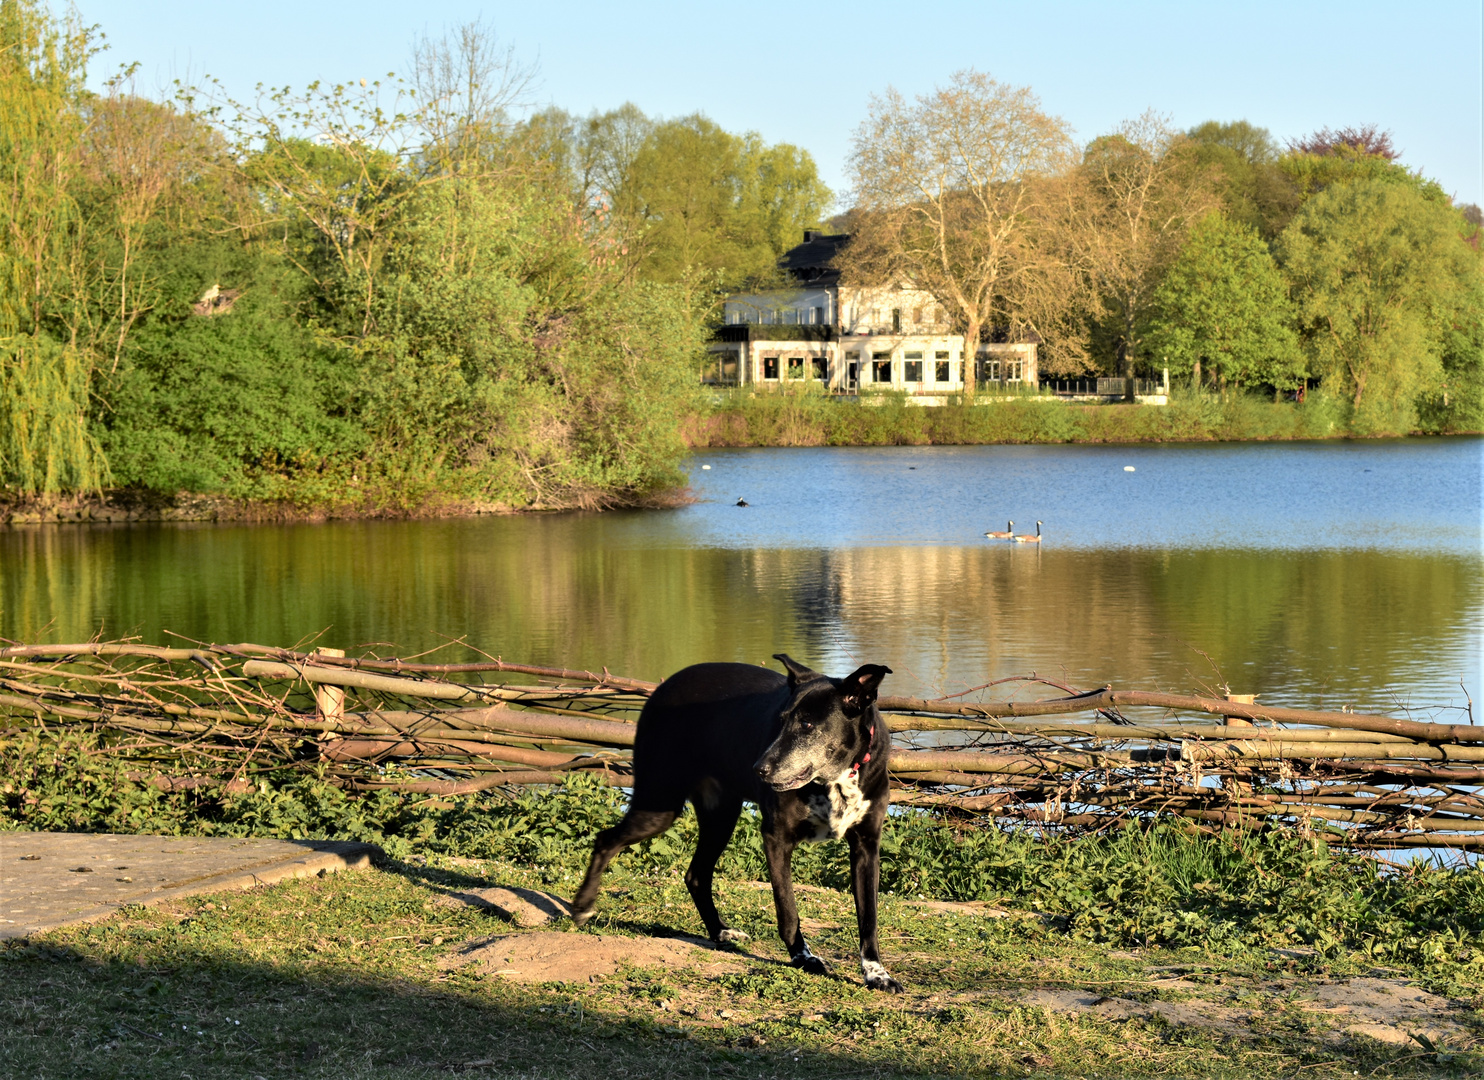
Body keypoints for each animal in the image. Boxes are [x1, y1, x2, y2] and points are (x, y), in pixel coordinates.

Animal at [566, 652, 896, 990]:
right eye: (780, 720)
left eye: (806, 724)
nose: (759, 769)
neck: (837, 778)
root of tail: (665, 686)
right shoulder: (776, 838)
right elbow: (788, 910)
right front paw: (803, 958)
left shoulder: (867, 847)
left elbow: (869, 917)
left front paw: (876, 972)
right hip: (659, 802)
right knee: (606, 840)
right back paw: (583, 907)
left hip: (720, 817)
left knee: (696, 874)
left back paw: (720, 931)